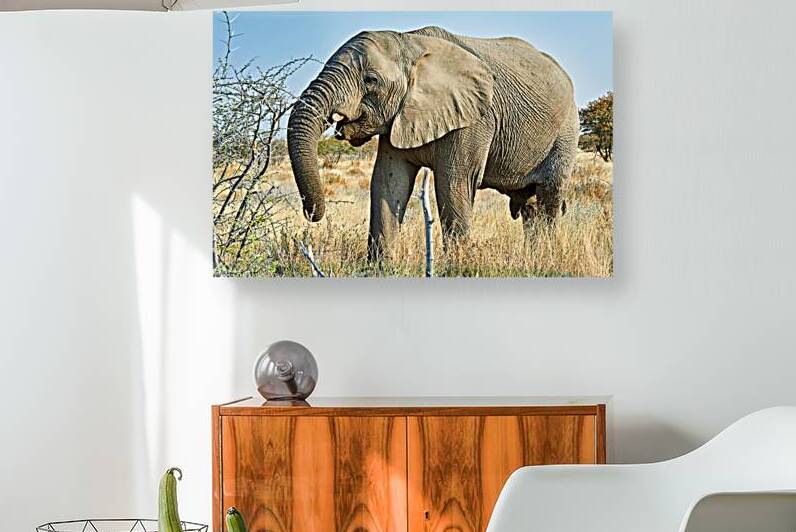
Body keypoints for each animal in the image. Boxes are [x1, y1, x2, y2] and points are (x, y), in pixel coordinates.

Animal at [287, 25, 579, 260]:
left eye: (371, 80)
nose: (312, 215)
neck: (410, 41)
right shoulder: (398, 118)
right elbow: (388, 181)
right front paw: (380, 268)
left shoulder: (473, 119)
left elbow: (454, 184)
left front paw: (458, 267)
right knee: (531, 207)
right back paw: (534, 258)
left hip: (566, 132)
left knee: (549, 198)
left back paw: (546, 259)